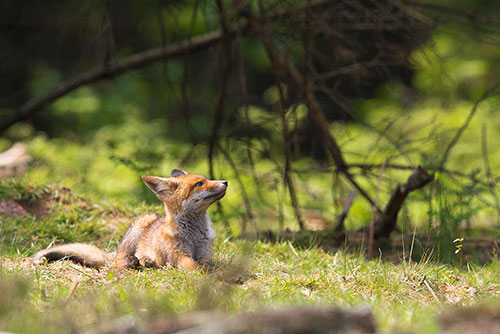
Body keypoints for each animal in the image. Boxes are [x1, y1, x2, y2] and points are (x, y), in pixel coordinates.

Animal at [34, 170, 229, 272]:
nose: (226, 181)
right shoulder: (180, 256)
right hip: (141, 222)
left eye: (206, 179)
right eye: (199, 183)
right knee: (118, 263)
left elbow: (208, 264)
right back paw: (142, 262)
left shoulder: (205, 252)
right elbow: (196, 267)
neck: (193, 234)